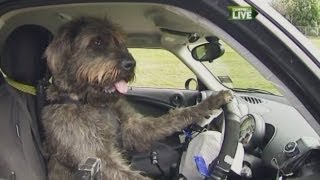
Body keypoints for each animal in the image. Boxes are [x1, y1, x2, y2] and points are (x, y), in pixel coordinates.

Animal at [42, 16, 232, 179]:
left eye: (118, 41)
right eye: (96, 42)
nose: (130, 64)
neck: (90, 102)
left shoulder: (135, 127)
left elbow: (171, 119)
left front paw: (214, 100)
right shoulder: (95, 157)